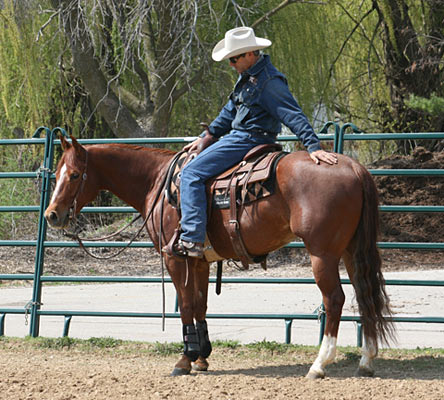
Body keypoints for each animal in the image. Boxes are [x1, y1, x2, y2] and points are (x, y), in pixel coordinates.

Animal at [45, 137, 392, 378]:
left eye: (74, 175)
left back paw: (319, 365)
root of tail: (352, 166)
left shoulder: (176, 259)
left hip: (322, 253)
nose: (52, 215)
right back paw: (366, 361)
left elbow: (186, 305)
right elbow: (200, 305)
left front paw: (184, 360)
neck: (158, 183)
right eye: (56, 173)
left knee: (335, 299)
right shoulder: (198, 261)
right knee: (365, 296)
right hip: (351, 251)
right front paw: (201, 357)